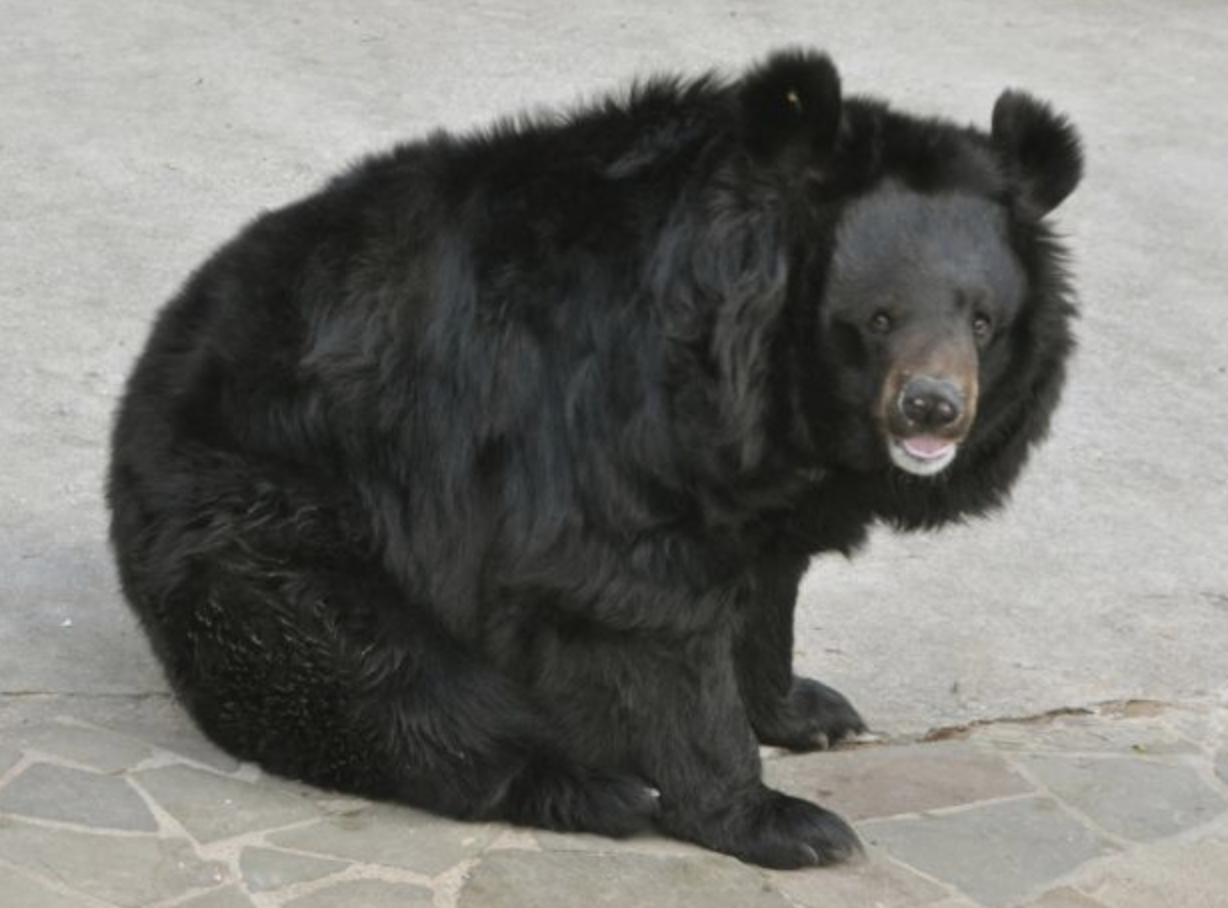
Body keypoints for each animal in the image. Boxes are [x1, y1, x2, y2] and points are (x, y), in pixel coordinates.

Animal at [107, 49, 1082, 869]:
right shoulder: (607, 414)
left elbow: (767, 587)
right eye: (877, 318)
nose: (934, 408)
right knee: (394, 682)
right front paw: (781, 820)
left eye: (983, 322)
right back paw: (595, 788)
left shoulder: (762, 481)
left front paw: (807, 710)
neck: (766, 380)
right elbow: (636, 597)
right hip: (271, 526)